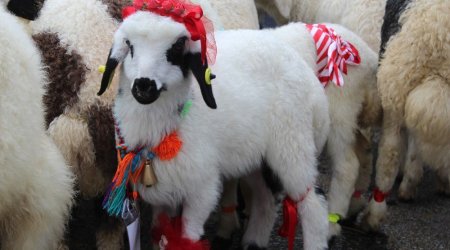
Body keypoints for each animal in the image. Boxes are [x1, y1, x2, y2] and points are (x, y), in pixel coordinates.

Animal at [98, 2, 330, 249]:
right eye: (129, 44)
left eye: (177, 45)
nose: (144, 85)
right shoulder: (164, 192)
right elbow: (160, 233)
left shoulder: (202, 187)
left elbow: (187, 236)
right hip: (254, 156)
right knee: (265, 199)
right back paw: (253, 242)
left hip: (293, 144)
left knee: (314, 204)